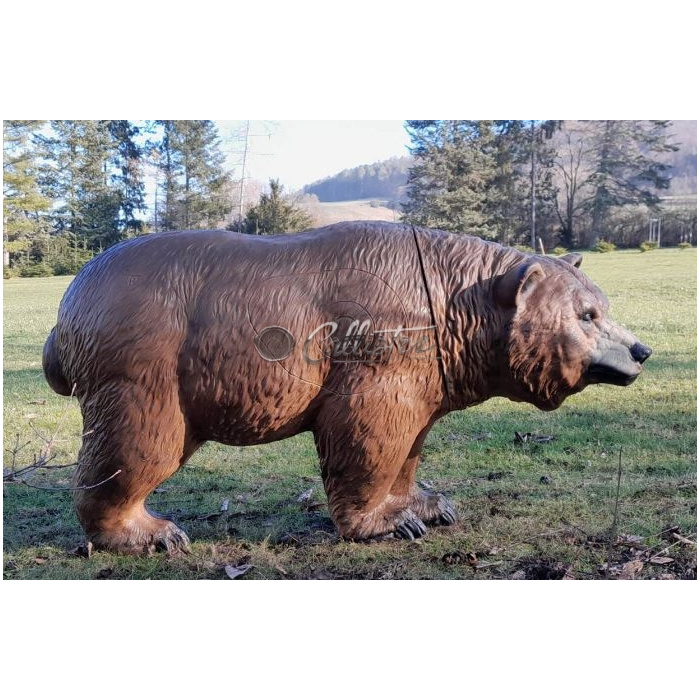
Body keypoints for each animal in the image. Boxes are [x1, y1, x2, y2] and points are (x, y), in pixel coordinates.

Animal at [42, 221, 652, 553]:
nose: (641, 350)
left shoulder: (427, 375)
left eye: (600, 305)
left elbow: (410, 446)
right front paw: (384, 525)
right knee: (138, 447)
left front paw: (427, 504)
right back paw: (151, 533)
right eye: (588, 314)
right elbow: (366, 435)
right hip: (147, 364)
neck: (455, 307)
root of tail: (68, 303)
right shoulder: (378, 352)